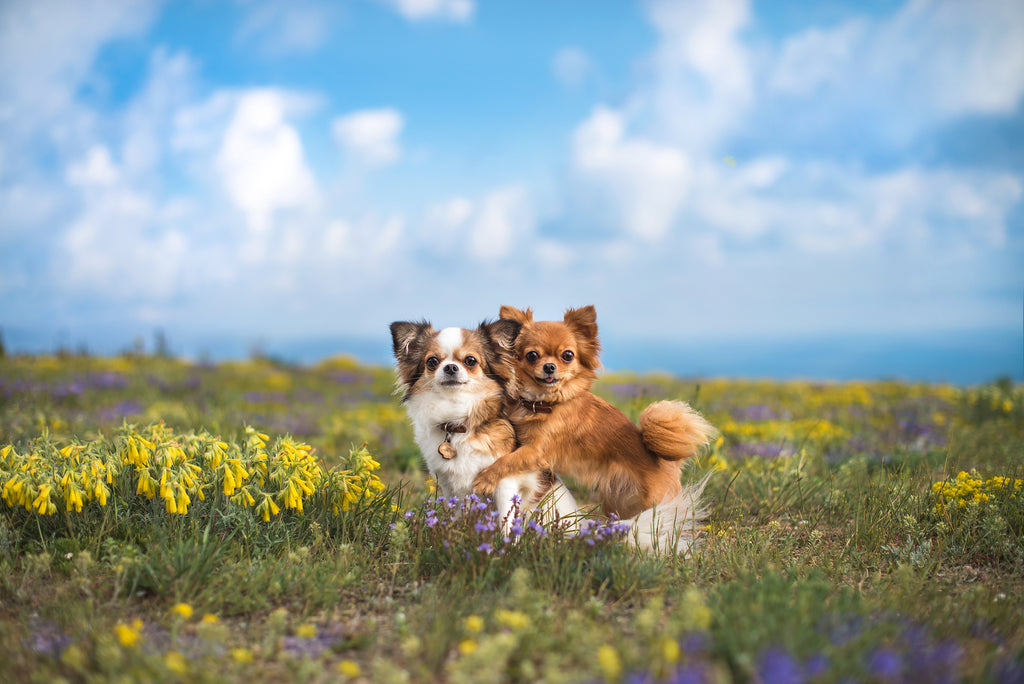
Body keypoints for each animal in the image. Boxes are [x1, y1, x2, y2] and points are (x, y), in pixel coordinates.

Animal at [471, 305, 712, 540]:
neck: (545, 403)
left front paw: (485, 479)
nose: (549, 367)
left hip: (656, 501)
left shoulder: (535, 452)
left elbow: (507, 461)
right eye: (531, 355)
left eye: (567, 355)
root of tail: (669, 462)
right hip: (620, 500)